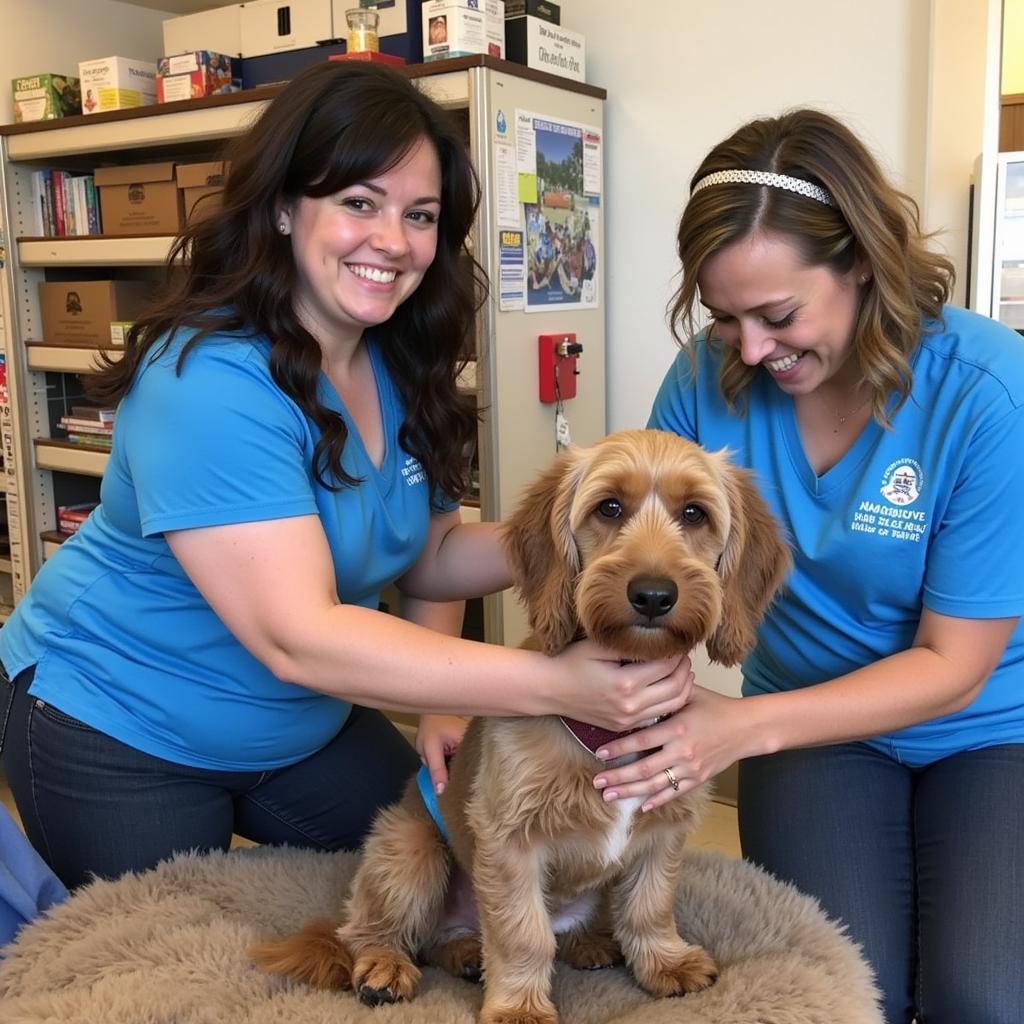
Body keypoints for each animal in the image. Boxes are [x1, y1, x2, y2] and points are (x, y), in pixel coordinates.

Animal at [249, 430, 790, 1024]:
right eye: (609, 507)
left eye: (694, 514)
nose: (652, 594)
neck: (610, 736)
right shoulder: (509, 842)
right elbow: (522, 934)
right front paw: (518, 1008)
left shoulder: (664, 829)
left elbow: (649, 907)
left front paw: (664, 962)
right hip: (409, 847)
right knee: (374, 931)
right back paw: (386, 965)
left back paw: (561, 944)